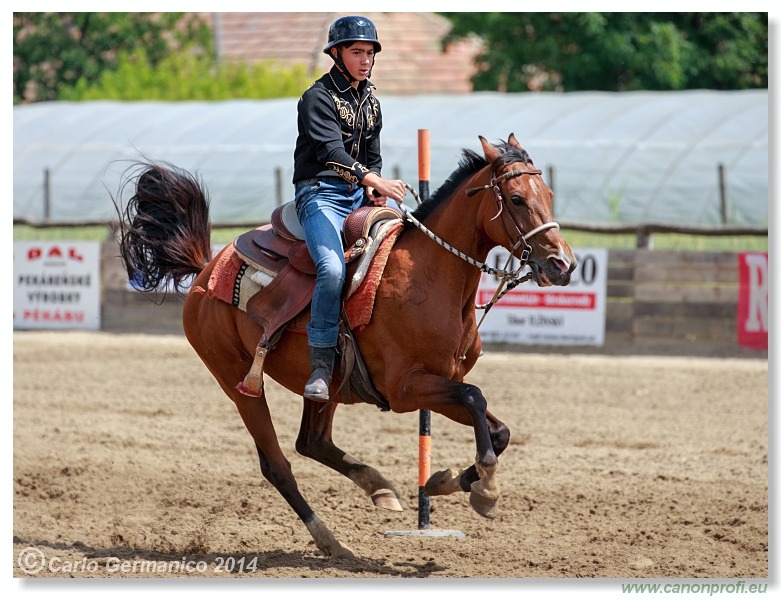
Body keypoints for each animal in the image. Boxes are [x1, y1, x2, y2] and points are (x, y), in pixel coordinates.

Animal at [116, 135, 576, 556]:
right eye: (516, 198)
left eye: (550, 194)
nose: (563, 264)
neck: (429, 275)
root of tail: (205, 270)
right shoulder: (407, 389)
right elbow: (475, 398)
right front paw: (483, 491)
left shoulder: (440, 382)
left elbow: (498, 429)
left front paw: (446, 481)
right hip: (238, 382)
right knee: (278, 464)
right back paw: (332, 542)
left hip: (326, 383)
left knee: (311, 441)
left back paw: (379, 488)